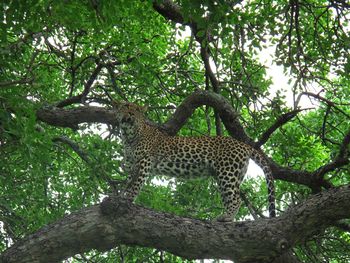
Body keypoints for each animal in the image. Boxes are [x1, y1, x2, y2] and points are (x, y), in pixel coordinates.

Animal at [115, 101, 276, 221]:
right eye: (125, 106)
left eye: (136, 110)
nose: (130, 114)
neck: (128, 136)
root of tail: (243, 144)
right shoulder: (132, 165)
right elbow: (128, 181)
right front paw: (120, 195)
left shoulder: (145, 161)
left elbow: (136, 184)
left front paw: (128, 198)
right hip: (231, 175)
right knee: (229, 197)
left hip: (227, 172)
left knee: (236, 199)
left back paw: (227, 217)